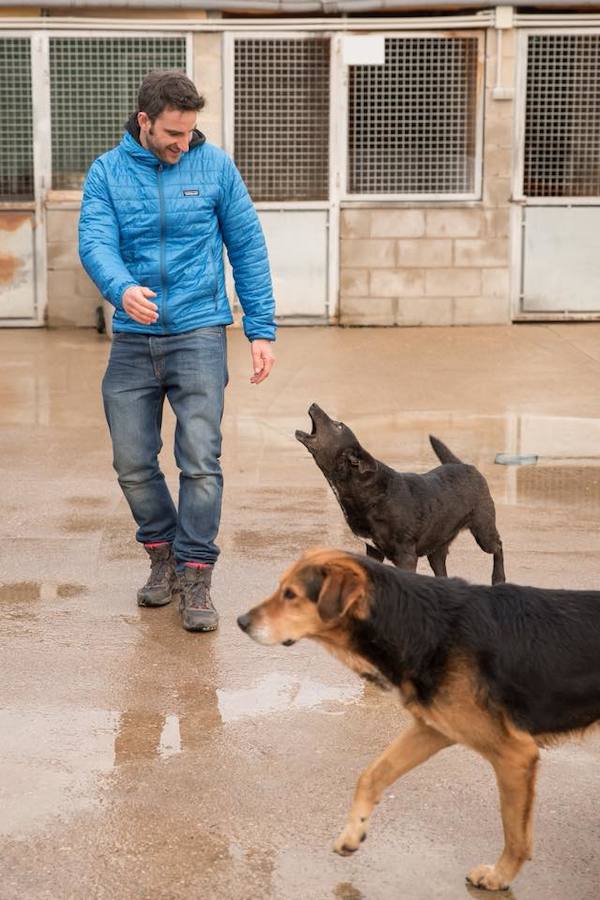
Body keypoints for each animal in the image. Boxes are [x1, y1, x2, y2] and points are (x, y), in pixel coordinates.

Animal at [296, 404, 506, 588]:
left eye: (338, 425)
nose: (314, 404)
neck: (370, 492)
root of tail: (464, 465)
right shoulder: (373, 551)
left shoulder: (406, 556)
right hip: (437, 548)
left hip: (483, 530)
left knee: (498, 546)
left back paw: (498, 578)